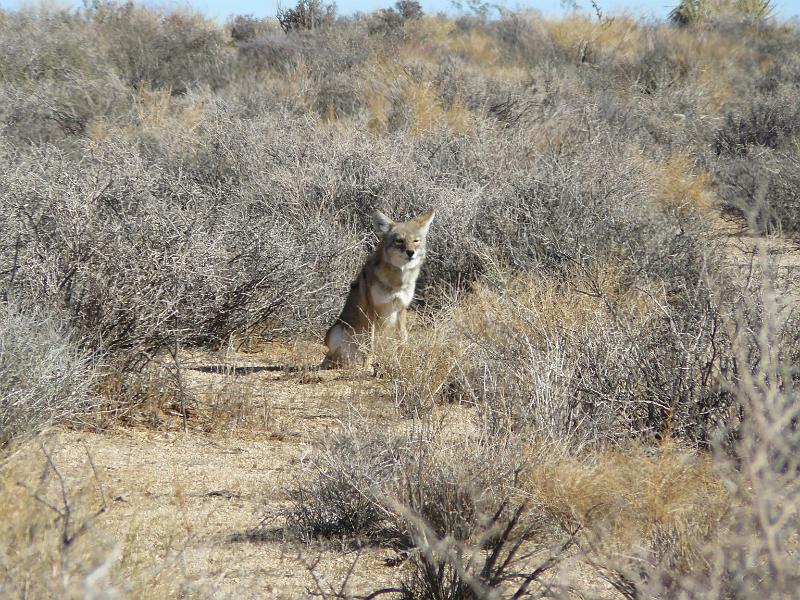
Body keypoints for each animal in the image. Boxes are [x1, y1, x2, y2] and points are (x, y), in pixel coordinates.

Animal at [321, 209, 435, 369]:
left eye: (415, 241)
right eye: (399, 241)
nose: (410, 252)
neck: (396, 282)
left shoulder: (401, 308)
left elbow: (403, 338)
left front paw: (404, 359)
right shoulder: (371, 311)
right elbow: (370, 344)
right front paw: (367, 367)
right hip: (336, 332)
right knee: (334, 357)